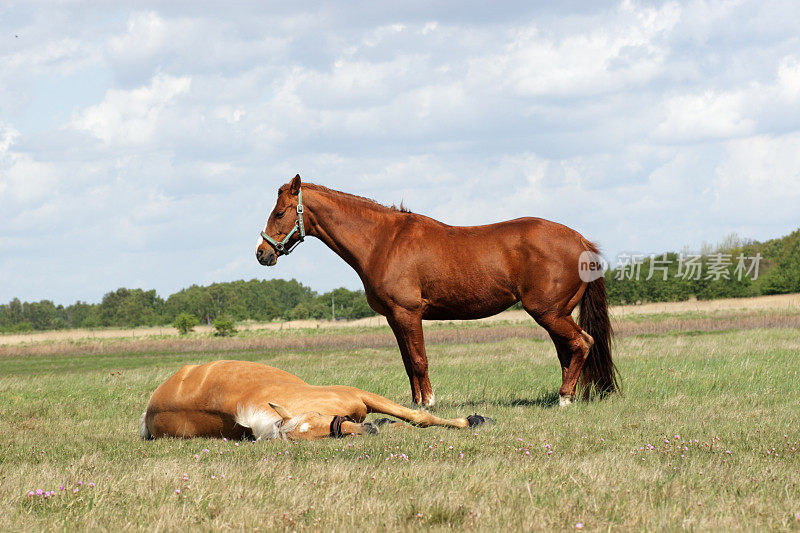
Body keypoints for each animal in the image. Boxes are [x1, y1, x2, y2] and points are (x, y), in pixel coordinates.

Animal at [256, 175, 620, 408]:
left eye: (279, 212)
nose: (262, 253)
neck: (383, 241)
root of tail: (580, 240)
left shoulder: (408, 313)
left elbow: (419, 360)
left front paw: (429, 404)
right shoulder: (394, 318)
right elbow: (408, 362)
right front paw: (416, 404)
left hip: (548, 312)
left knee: (581, 343)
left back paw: (564, 400)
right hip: (558, 312)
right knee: (568, 350)